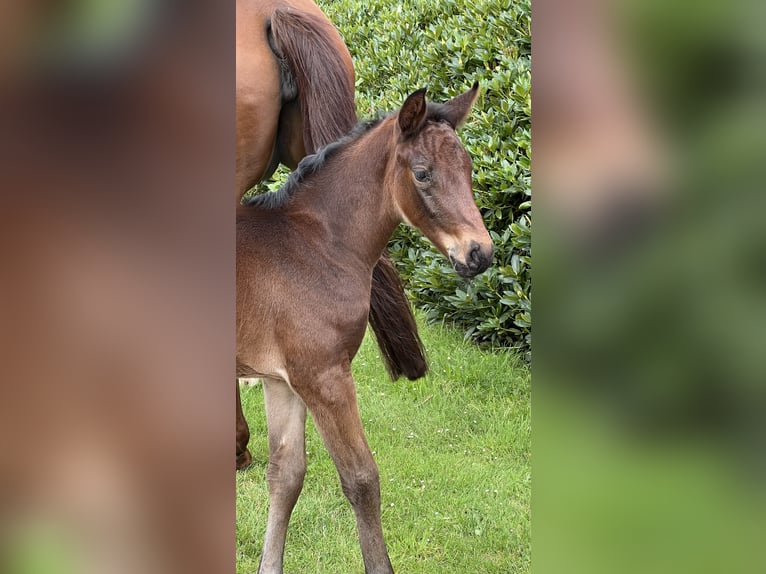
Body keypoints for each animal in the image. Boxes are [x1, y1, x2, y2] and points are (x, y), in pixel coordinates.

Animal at [237, 83, 496, 572]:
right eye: (422, 173)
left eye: (470, 168)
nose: (480, 254)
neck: (316, 243)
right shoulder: (324, 376)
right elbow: (361, 479)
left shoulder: (283, 380)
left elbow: (286, 475)